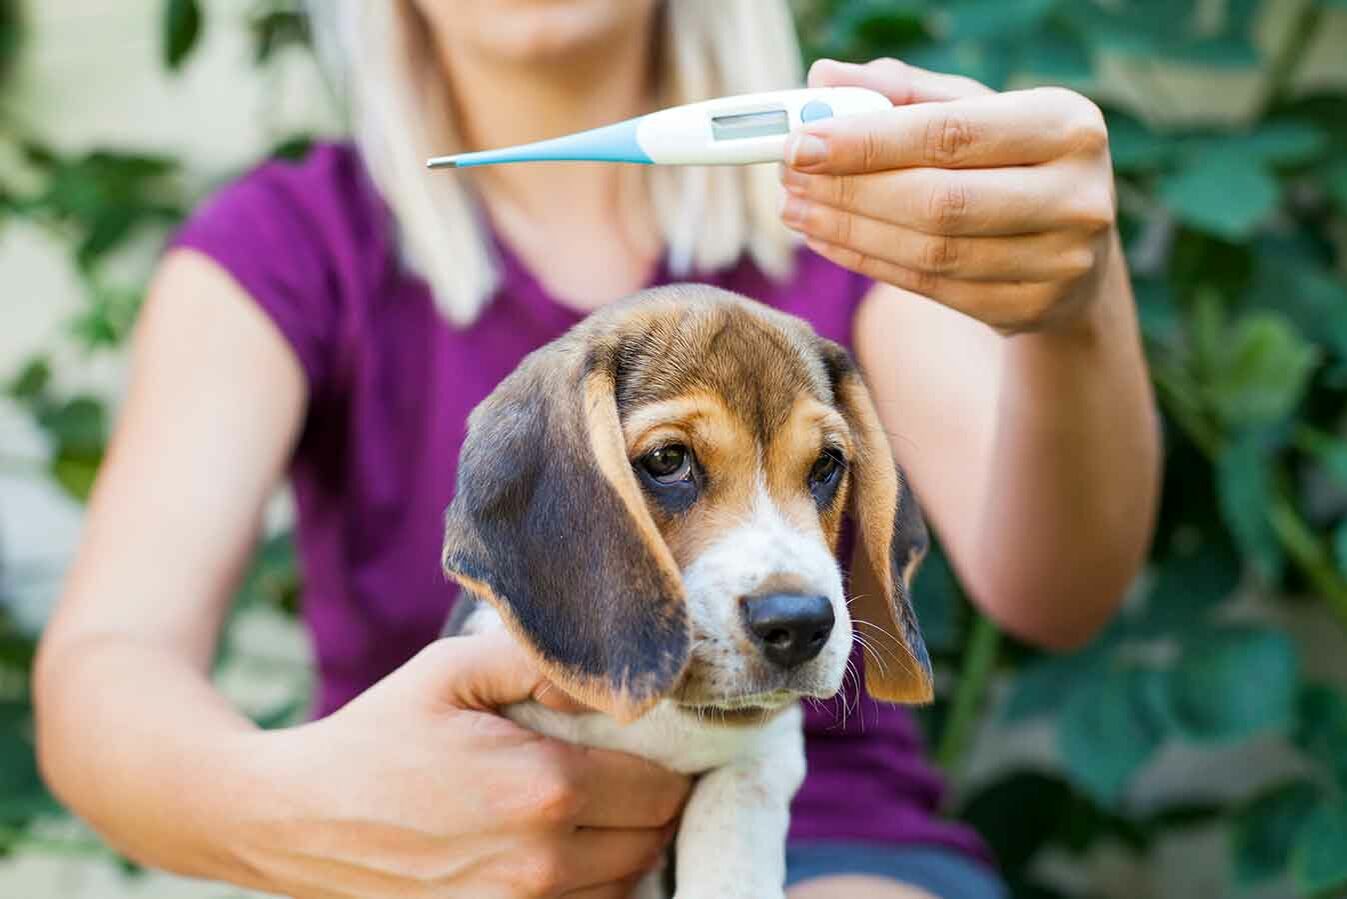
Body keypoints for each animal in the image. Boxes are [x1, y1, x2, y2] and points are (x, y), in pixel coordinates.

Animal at [441, 287, 937, 899]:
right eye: (667, 460)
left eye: (826, 464)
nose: (799, 624)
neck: (662, 721)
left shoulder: (766, 746)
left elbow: (735, 814)